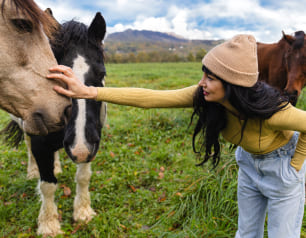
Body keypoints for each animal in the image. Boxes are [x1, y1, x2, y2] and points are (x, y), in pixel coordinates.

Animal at [2, 10, 106, 236]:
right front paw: (48, 224)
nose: (79, 147)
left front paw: (83, 212)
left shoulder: (91, 143)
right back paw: (33, 171)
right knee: (28, 145)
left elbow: (83, 176)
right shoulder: (41, 143)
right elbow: (47, 185)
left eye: (101, 74)